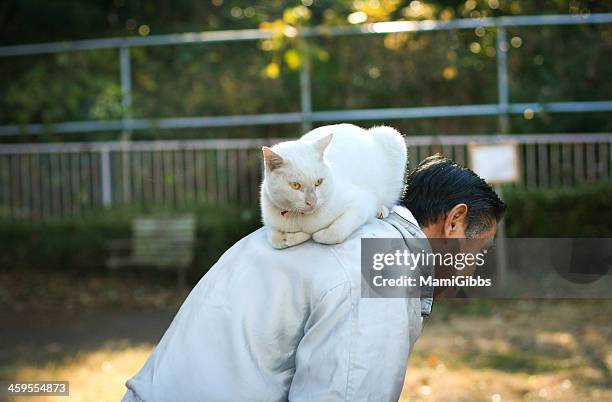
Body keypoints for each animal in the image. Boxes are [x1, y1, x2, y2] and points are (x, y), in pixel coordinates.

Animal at [258, 123, 406, 248]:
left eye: (319, 182)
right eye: (295, 185)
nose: (312, 202)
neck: (301, 219)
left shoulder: (361, 203)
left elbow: (335, 233)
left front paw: (316, 235)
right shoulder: (269, 222)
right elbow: (277, 241)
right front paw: (297, 236)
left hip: (391, 137)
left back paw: (381, 209)